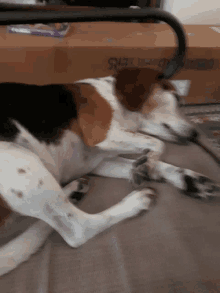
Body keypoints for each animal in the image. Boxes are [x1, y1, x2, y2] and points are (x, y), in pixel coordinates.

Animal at [0, 67, 219, 274]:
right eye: (177, 99)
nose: (195, 135)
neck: (115, 98)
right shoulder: (105, 135)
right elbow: (157, 144)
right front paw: (148, 164)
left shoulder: (97, 162)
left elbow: (152, 162)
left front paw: (188, 179)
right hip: (21, 158)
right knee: (78, 229)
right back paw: (135, 202)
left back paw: (74, 189)